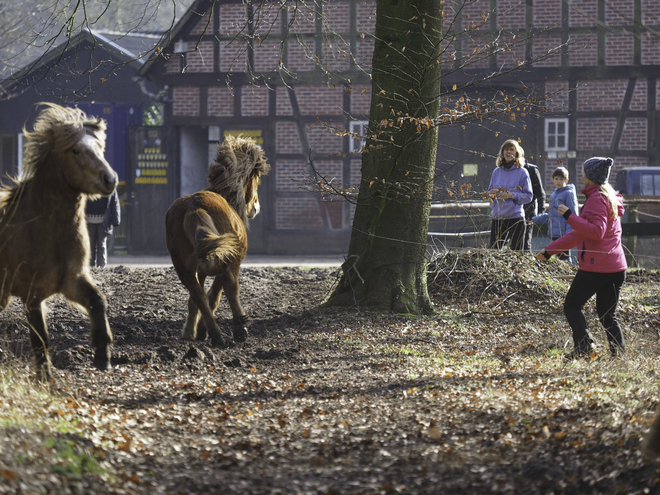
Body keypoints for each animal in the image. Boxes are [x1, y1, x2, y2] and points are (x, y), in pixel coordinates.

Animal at [0, 101, 117, 380]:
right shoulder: (32, 295)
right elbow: (40, 337)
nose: (110, 179)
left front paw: (103, 356)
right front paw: (45, 377)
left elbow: (98, 302)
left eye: (100, 147)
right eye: (75, 150)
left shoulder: (72, 280)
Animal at [166, 134, 270, 346]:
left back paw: (212, 332)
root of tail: (194, 207)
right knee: (229, 288)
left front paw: (191, 331)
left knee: (197, 295)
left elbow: (195, 301)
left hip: (184, 269)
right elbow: (216, 295)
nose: (256, 207)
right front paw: (201, 330)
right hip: (229, 261)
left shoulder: (199, 271)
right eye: (255, 179)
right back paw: (236, 329)